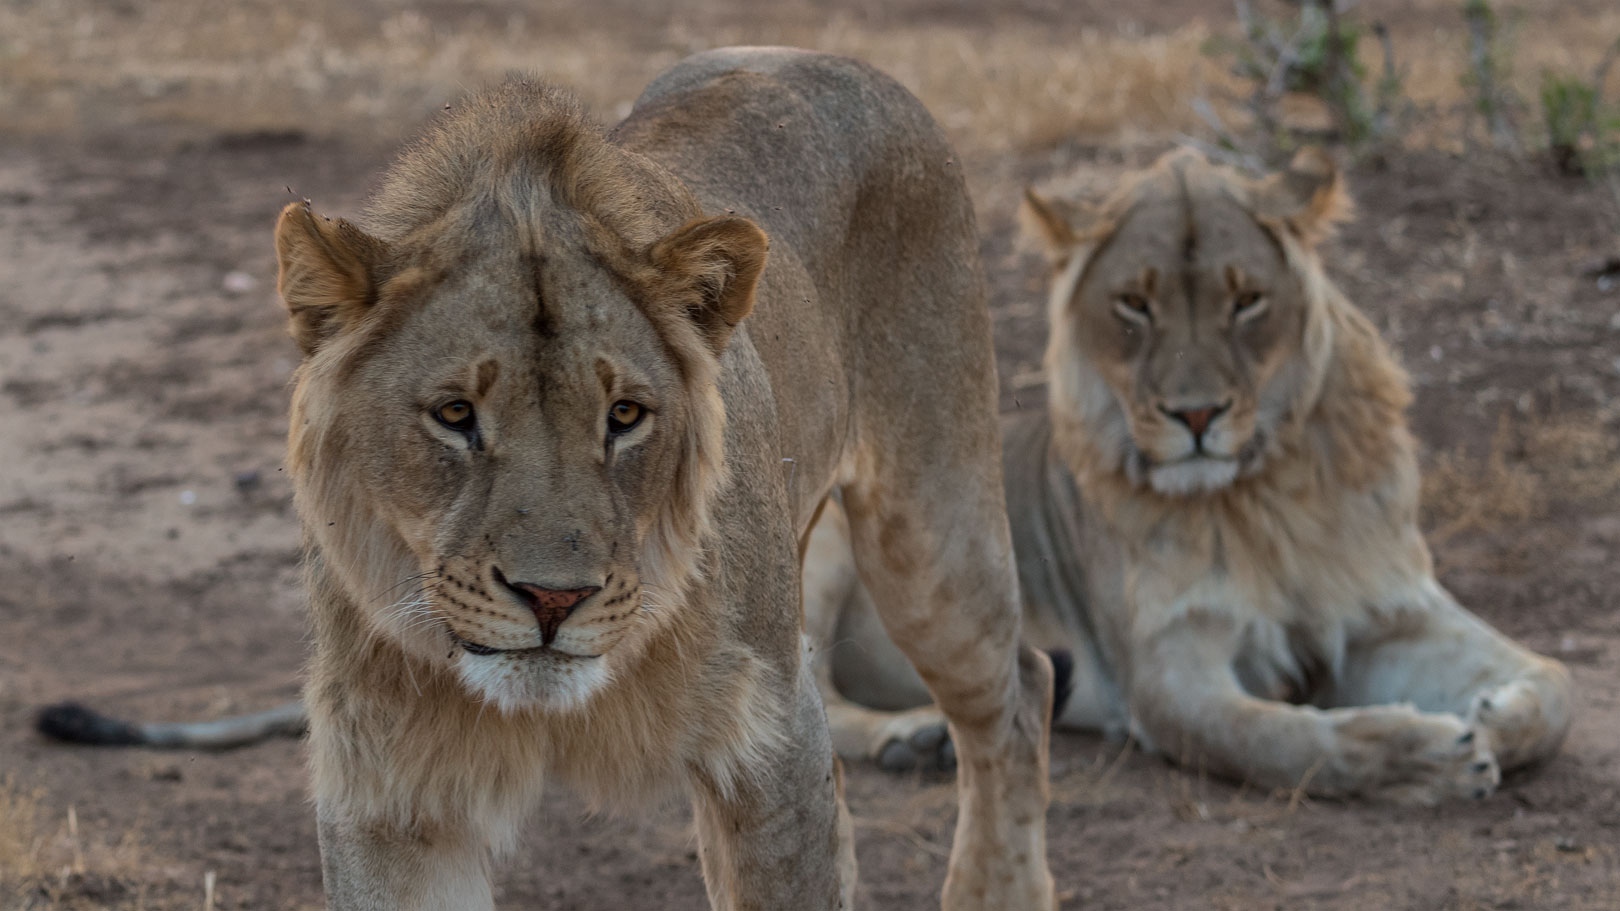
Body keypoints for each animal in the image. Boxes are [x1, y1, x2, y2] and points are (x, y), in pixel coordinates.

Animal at [44, 51, 1056, 907]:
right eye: (455, 414)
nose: (553, 598)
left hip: (931, 536)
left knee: (1021, 689)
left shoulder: (769, 747)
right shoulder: (392, 794)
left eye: (625, 416)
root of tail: (841, 61)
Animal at [803, 143, 1574, 800]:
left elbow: (1557, 683)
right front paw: (1427, 759)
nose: (1196, 415)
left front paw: (1494, 716)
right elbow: (1281, 741)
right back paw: (912, 738)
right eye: (1135, 304)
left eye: (1247, 301)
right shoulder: (1167, 669)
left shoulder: (1390, 607)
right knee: (810, 698)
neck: (1263, 496)